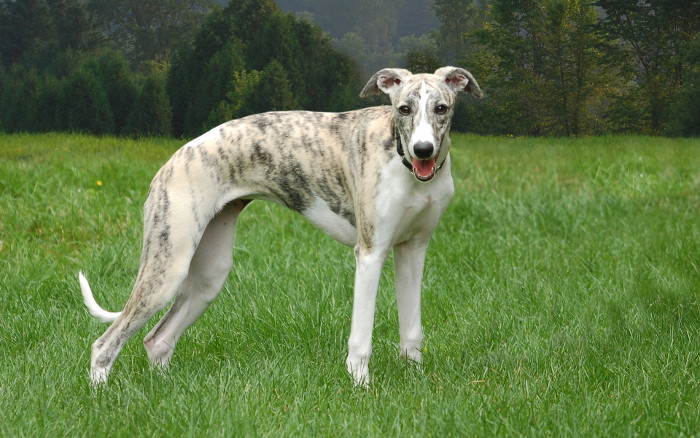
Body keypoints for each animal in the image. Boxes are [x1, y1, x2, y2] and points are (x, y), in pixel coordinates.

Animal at [78, 66, 482, 384]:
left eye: (441, 108)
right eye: (404, 108)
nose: (423, 150)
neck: (400, 159)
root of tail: (170, 163)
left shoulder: (413, 250)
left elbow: (412, 330)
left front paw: (416, 380)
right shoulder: (370, 253)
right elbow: (361, 337)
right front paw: (360, 387)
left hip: (208, 275)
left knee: (157, 340)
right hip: (168, 267)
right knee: (104, 344)